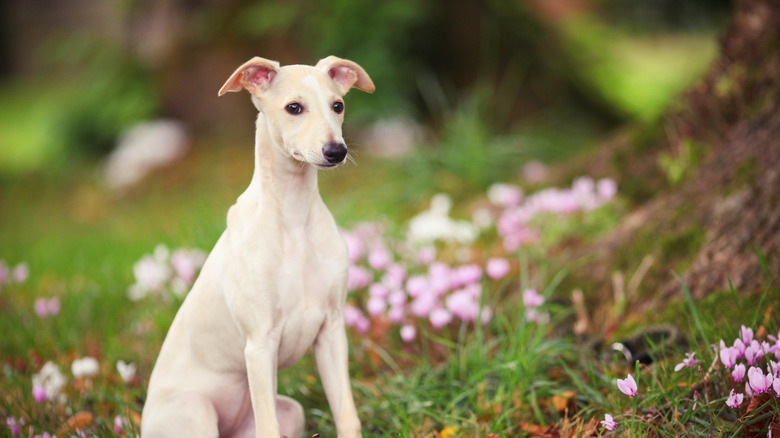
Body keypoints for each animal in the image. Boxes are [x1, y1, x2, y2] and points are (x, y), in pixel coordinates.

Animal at [142, 56, 376, 438]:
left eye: (338, 105)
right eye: (294, 107)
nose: (336, 151)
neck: (294, 218)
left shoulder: (331, 331)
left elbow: (346, 414)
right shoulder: (259, 344)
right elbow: (269, 428)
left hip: (291, 412)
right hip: (195, 411)